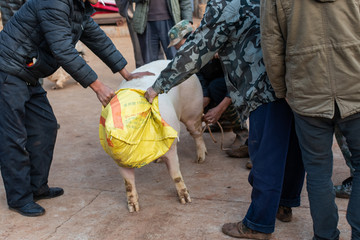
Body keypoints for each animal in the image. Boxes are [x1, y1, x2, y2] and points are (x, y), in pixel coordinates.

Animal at [116, 59, 207, 212]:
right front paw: (133, 209)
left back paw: (200, 159)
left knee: (197, 133)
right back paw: (158, 160)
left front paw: (186, 200)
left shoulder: (171, 146)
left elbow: (175, 174)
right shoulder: (121, 160)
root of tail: (168, 60)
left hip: (193, 110)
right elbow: (128, 183)